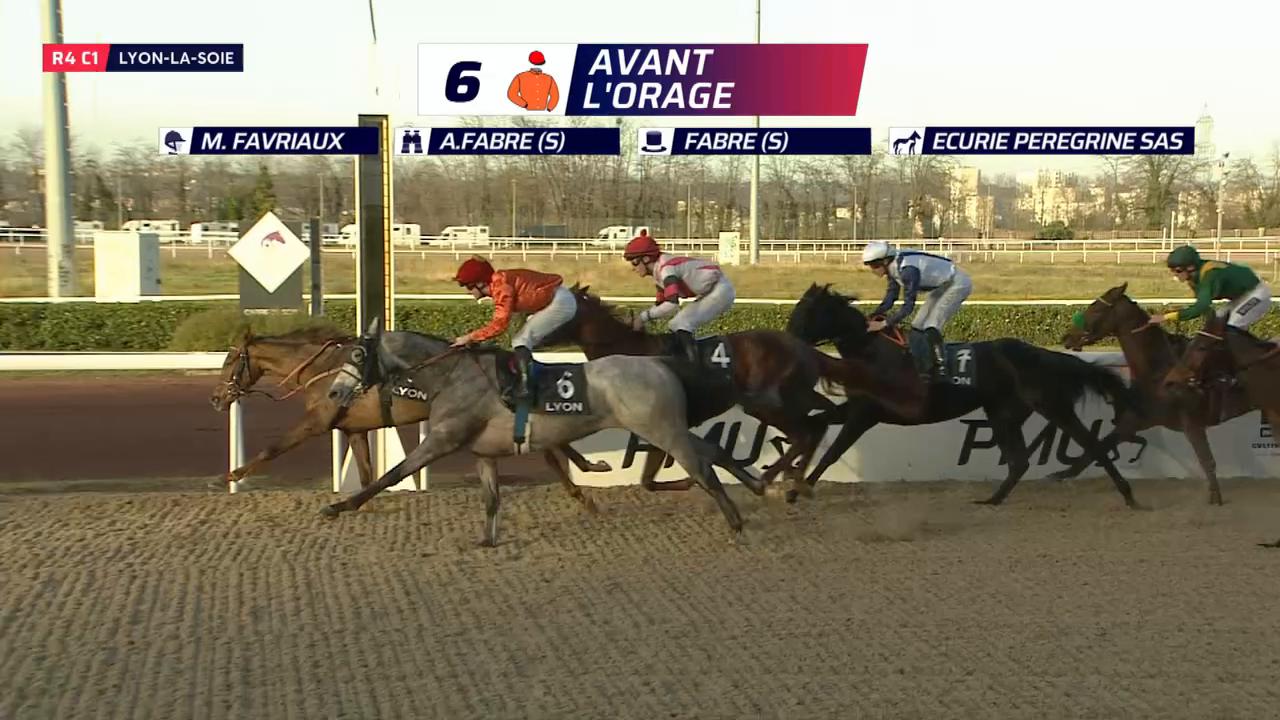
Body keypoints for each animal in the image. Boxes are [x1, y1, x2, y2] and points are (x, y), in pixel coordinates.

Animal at [211, 326, 608, 512]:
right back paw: (588, 474)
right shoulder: (354, 428)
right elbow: (366, 472)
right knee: (554, 446)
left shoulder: (319, 420)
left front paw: (228, 476)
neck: (326, 369)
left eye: (230, 361)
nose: (216, 398)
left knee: (551, 451)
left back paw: (584, 484)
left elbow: (272, 449)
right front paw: (360, 504)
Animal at [322, 320, 764, 545]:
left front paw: (339, 507)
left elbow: (390, 475)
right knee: (713, 452)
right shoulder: (484, 453)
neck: (453, 376)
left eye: (358, 354)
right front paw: (487, 541)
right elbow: (491, 499)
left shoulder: (443, 439)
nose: (334, 391)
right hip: (665, 427)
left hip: (660, 429)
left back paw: (737, 523)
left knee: (703, 468)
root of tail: (661, 364)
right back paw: (759, 486)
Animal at [537, 284, 929, 488]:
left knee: (806, 431)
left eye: (556, 309)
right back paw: (790, 479)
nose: (532, 333)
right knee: (817, 423)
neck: (628, 352)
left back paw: (772, 480)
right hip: (794, 396)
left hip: (766, 402)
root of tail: (801, 347)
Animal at [786, 283, 1144, 507]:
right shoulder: (855, 406)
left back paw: (1129, 496)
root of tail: (1043, 354)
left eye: (805, 313)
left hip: (1052, 405)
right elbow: (817, 422)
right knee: (1019, 462)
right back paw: (992, 500)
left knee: (1092, 444)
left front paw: (799, 489)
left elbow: (833, 452)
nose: (785, 340)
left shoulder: (866, 414)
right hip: (1003, 413)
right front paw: (790, 476)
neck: (872, 352)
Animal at [1062, 284, 1257, 505]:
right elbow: (1098, 448)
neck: (1158, 371)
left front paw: (1215, 497)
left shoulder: (1191, 423)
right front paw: (1063, 477)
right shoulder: (1135, 420)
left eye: (1095, 308)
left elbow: (1207, 460)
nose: (1067, 337)